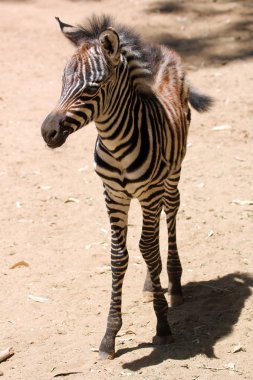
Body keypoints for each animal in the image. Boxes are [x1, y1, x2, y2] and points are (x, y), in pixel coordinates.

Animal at [41, 14, 211, 360]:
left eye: (92, 88)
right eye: (63, 81)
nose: (47, 132)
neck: (116, 143)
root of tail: (161, 49)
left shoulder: (148, 192)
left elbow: (148, 249)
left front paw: (163, 325)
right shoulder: (113, 195)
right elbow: (120, 256)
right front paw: (110, 336)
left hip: (171, 176)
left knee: (170, 214)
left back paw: (174, 284)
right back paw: (151, 283)